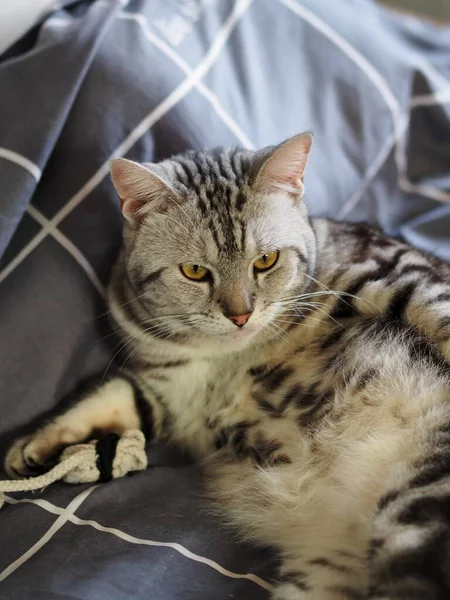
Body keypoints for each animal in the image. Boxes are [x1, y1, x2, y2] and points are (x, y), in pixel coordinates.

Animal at [5, 134, 450, 596]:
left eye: (266, 261)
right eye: (194, 271)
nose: (240, 315)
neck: (225, 355)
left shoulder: (400, 273)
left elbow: (440, 315)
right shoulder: (167, 388)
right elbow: (107, 399)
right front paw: (32, 446)